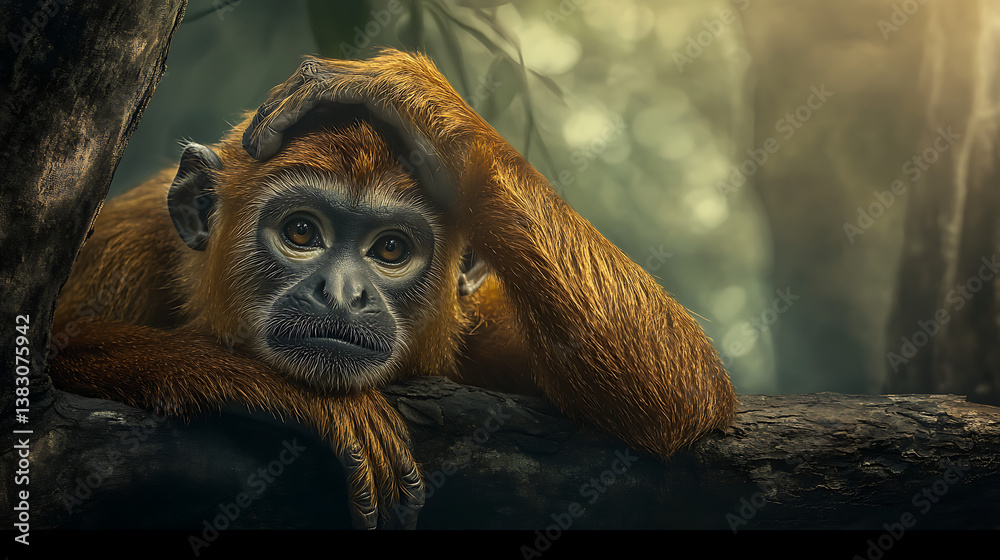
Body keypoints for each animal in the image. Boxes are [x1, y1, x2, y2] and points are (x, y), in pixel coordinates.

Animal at [47, 49, 737, 529]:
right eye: (301, 231)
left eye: (390, 250)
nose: (341, 293)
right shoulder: (127, 243)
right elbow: (56, 350)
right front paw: (309, 400)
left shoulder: (485, 324)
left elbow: (683, 399)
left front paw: (411, 93)